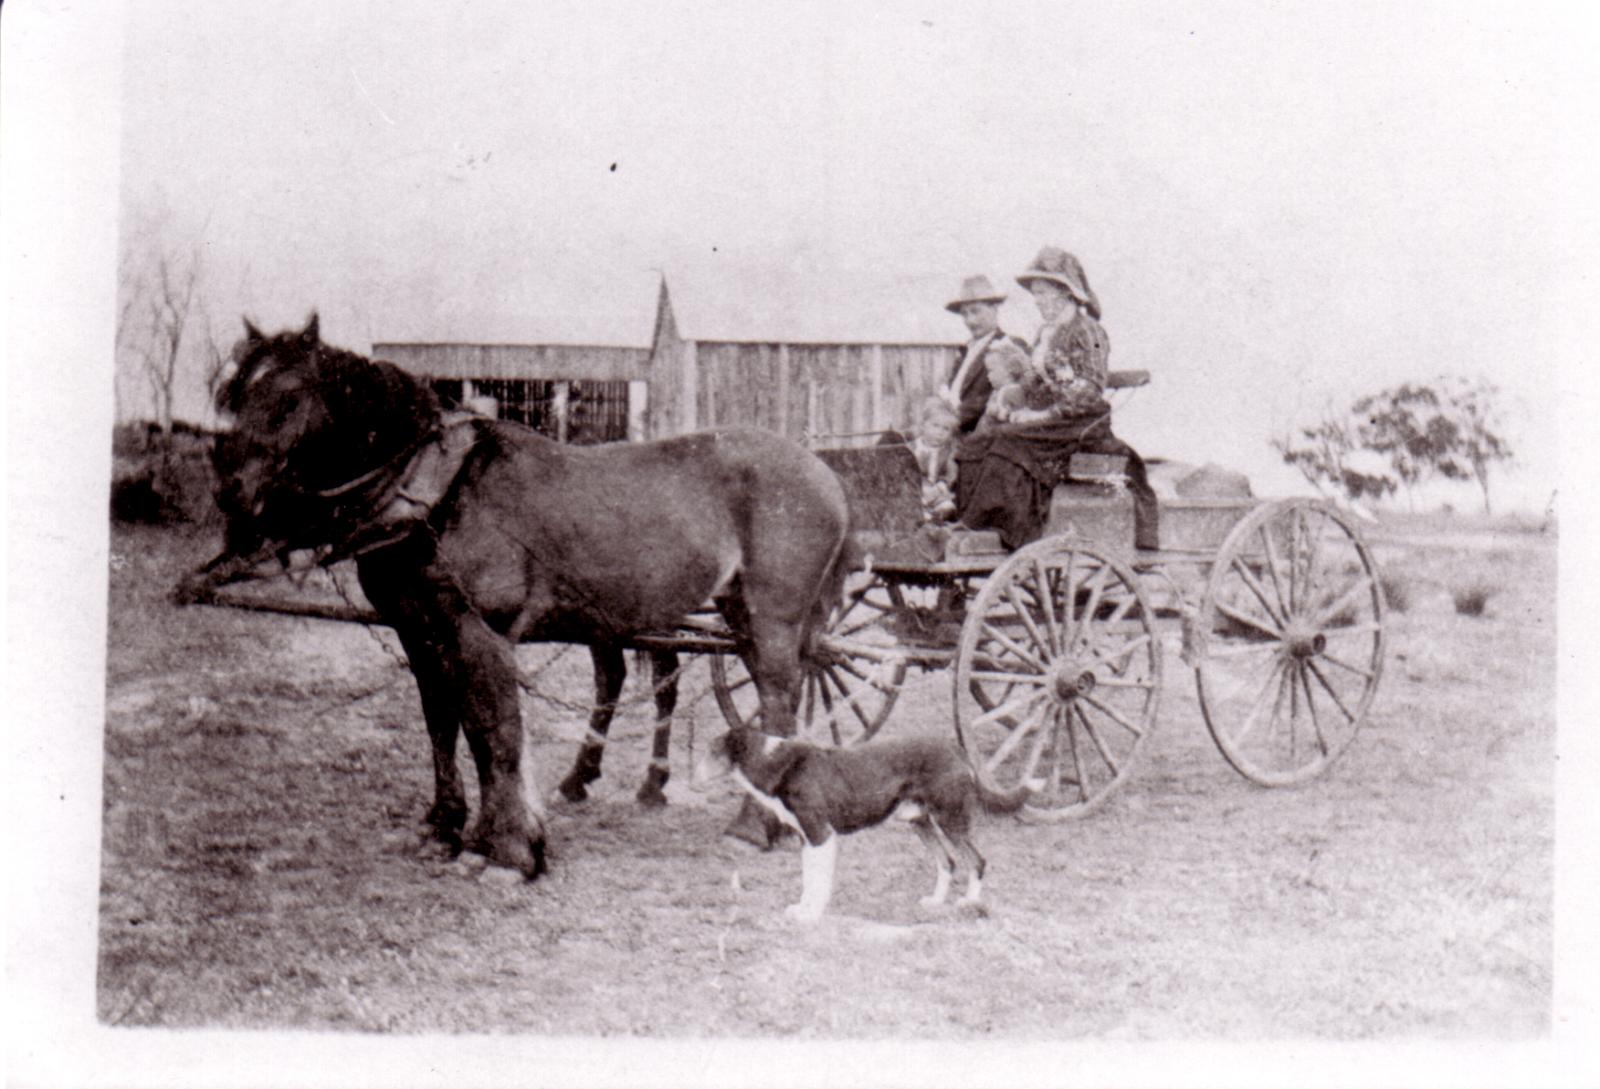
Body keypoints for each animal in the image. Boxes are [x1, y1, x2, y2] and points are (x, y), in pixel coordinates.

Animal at [183, 311, 857, 876]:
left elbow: (493, 729)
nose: (232, 493)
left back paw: (751, 826)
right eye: (234, 394)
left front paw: (509, 848)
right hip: (722, 613)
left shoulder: (478, 632)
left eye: (291, 395)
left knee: (776, 702)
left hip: (770, 619)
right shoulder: (422, 633)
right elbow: (443, 724)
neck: (439, 492)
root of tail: (826, 474)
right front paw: (446, 827)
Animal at [694, 726, 1043, 921]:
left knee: (976, 860)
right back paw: (935, 903)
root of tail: (956, 747)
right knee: (948, 862)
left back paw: (969, 903)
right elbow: (808, 880)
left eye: (712, 751)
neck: (779, 763)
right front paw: (802, 908)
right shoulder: (807, 838)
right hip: (920, 823)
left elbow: (818, 882)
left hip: (950, 819)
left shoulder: (821, 835)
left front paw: (811, 915)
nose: (691, 773)